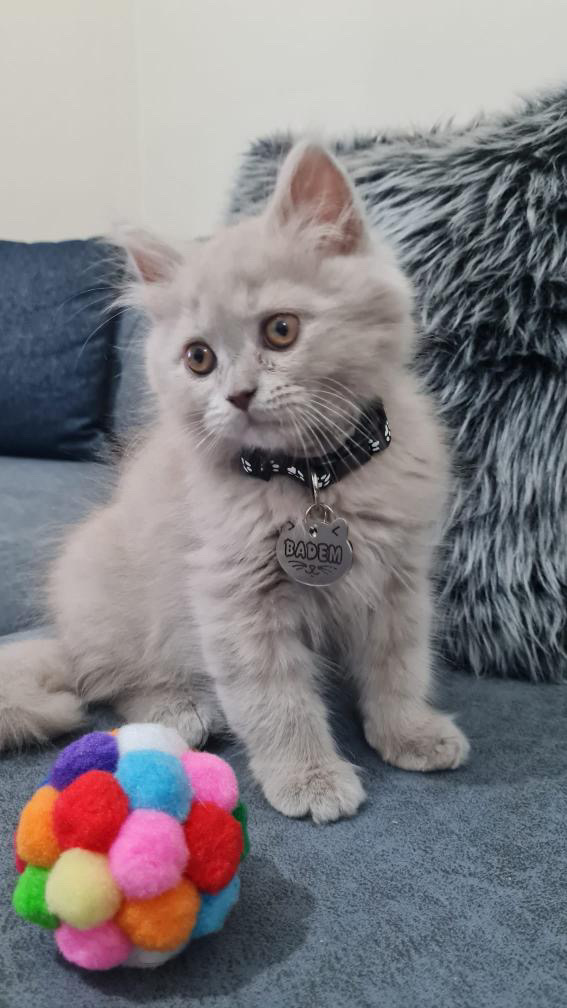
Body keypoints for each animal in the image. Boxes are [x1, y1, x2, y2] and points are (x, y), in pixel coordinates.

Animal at [0, 142, 469, 822]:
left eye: (281, 330)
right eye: (199, 359)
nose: (239, 395)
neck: (312, 474)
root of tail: (63, 636)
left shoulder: (401, 582)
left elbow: (399, 666)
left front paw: (410, 733)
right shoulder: (234, 598)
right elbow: (277, 702)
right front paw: (309, 778)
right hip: (111, 599)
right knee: (111, 683)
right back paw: (182, 709)